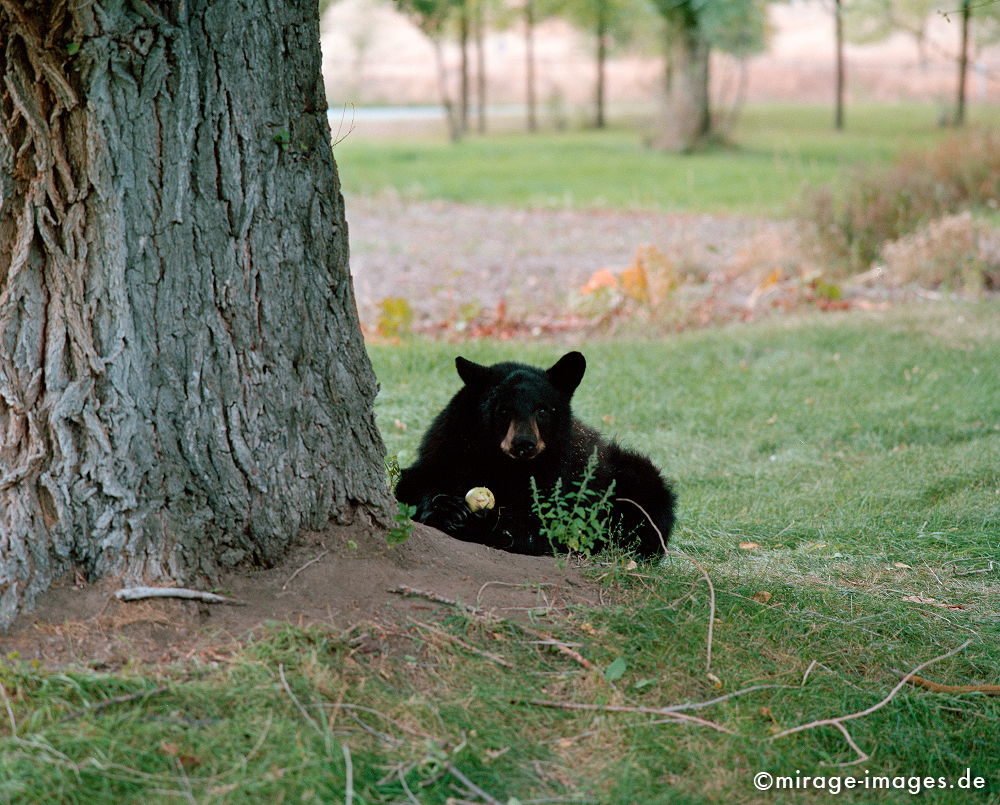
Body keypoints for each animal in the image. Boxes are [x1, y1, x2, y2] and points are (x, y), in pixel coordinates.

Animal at [394, 348, 676, 556]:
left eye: (542, 409)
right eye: (503, 409)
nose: (524, 443)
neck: (503, 464)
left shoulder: (562, 479)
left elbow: (543, 524)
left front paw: (481, 520)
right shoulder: (448, 446)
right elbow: (413, 482)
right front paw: (447, 508)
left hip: (636, 480)